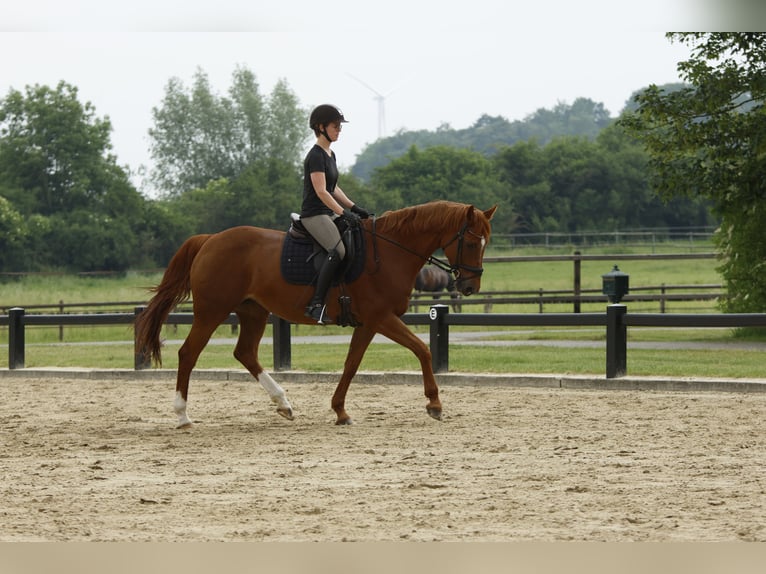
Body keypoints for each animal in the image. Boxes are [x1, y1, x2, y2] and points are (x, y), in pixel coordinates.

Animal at [134, 200, 497, 427]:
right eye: (470, 242)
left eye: (485, 243)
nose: (470, 286)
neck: (390, 251)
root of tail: (210, 240)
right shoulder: (382, 318)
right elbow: (422, 349)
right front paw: (434, 405)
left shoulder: (369, 323)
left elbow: (351, 364)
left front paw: (340, 411)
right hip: (212, 311)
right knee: (188, 353)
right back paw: (182, 415)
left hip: (253, 312)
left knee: (245, 353)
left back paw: (283, 404)